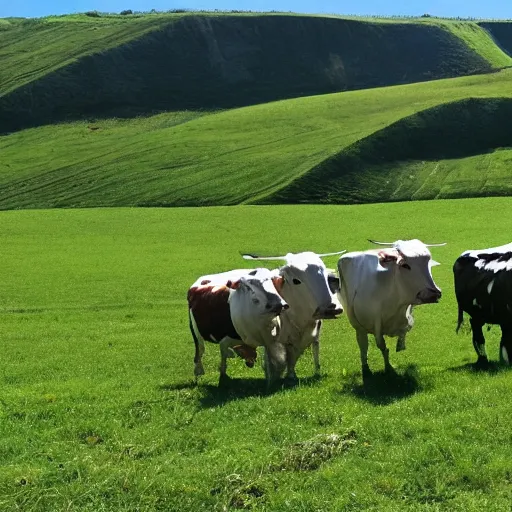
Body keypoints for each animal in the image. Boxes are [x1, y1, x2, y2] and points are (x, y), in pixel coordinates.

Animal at [241, 250, 344, 382]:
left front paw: (292, 375)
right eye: (296, 281)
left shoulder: (309, 337)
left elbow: (295, 357)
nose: (332, 308)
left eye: (326, 277)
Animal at [336, 238, 444, 378]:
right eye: (405, 265)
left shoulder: (406, 314)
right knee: (363, 344)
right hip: (356, 324)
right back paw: (365, 366)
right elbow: (382, 346)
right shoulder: (375, 323)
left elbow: (404, 331)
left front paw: (400, 345)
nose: (433, 293)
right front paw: (389, 367)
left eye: (428, 263)